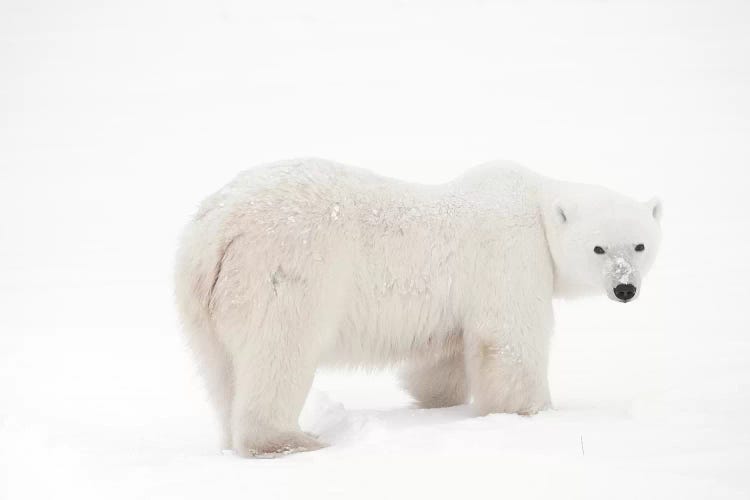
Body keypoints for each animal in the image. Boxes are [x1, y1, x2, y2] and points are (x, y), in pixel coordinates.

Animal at [176, 159, 664, 458]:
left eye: (640, 245)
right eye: (599, 248)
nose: (625, 288)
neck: (535, 204)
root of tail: (219, 225)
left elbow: (443, 357)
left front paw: (434, 402)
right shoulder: (512, 257)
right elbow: (509, 343)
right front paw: (533, 413)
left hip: (203, 296)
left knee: (222, 370)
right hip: (285, 269)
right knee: (280, 352)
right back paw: (291, 440)